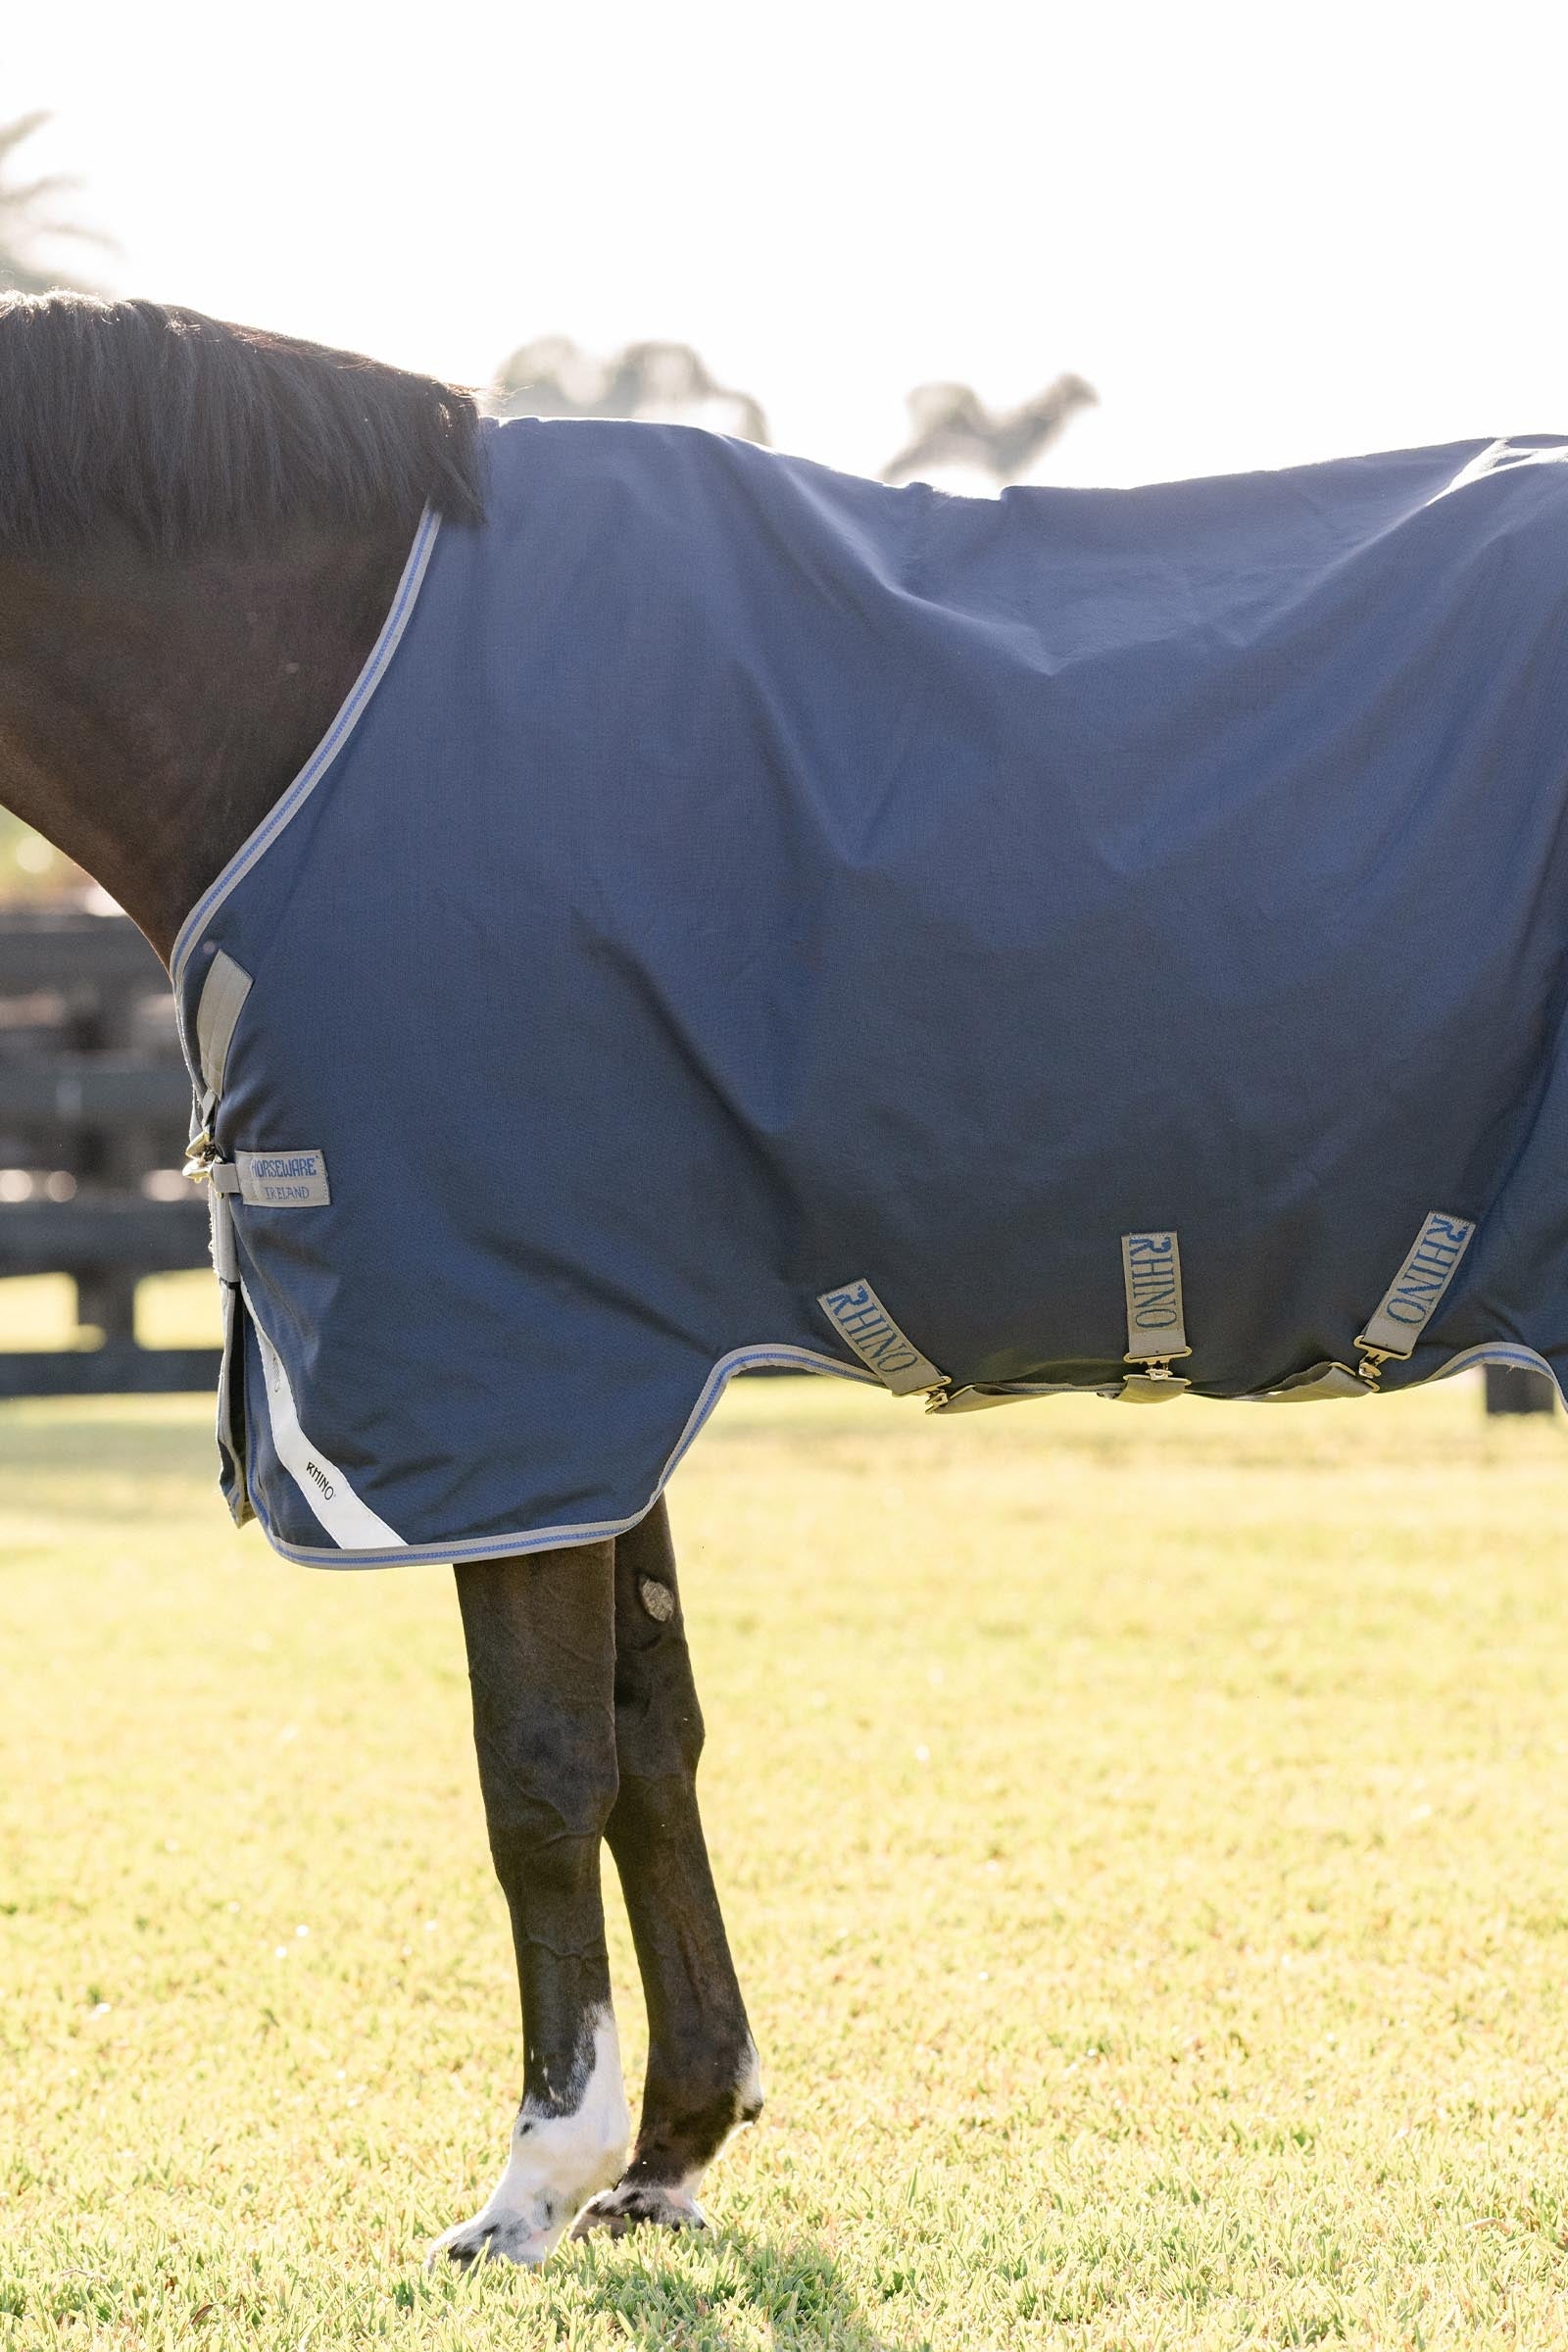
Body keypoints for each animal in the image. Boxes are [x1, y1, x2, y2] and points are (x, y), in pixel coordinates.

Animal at [5, 293, 1567, 2269]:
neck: (321, 693)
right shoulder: (611, 1381)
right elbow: (650, 1738)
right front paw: (671, 2145)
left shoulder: (513, 1372)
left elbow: (537, 1773)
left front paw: (534, 2179)